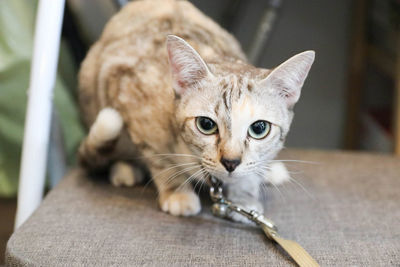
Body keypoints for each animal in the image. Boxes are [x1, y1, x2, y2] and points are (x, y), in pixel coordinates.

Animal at [78, 0, 314, 222]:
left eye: (259, 128)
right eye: (206, 125)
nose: (231, 162)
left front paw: (243, 195)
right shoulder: (126, 89)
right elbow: (160, 159)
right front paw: (178, 193)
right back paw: (125, 169)